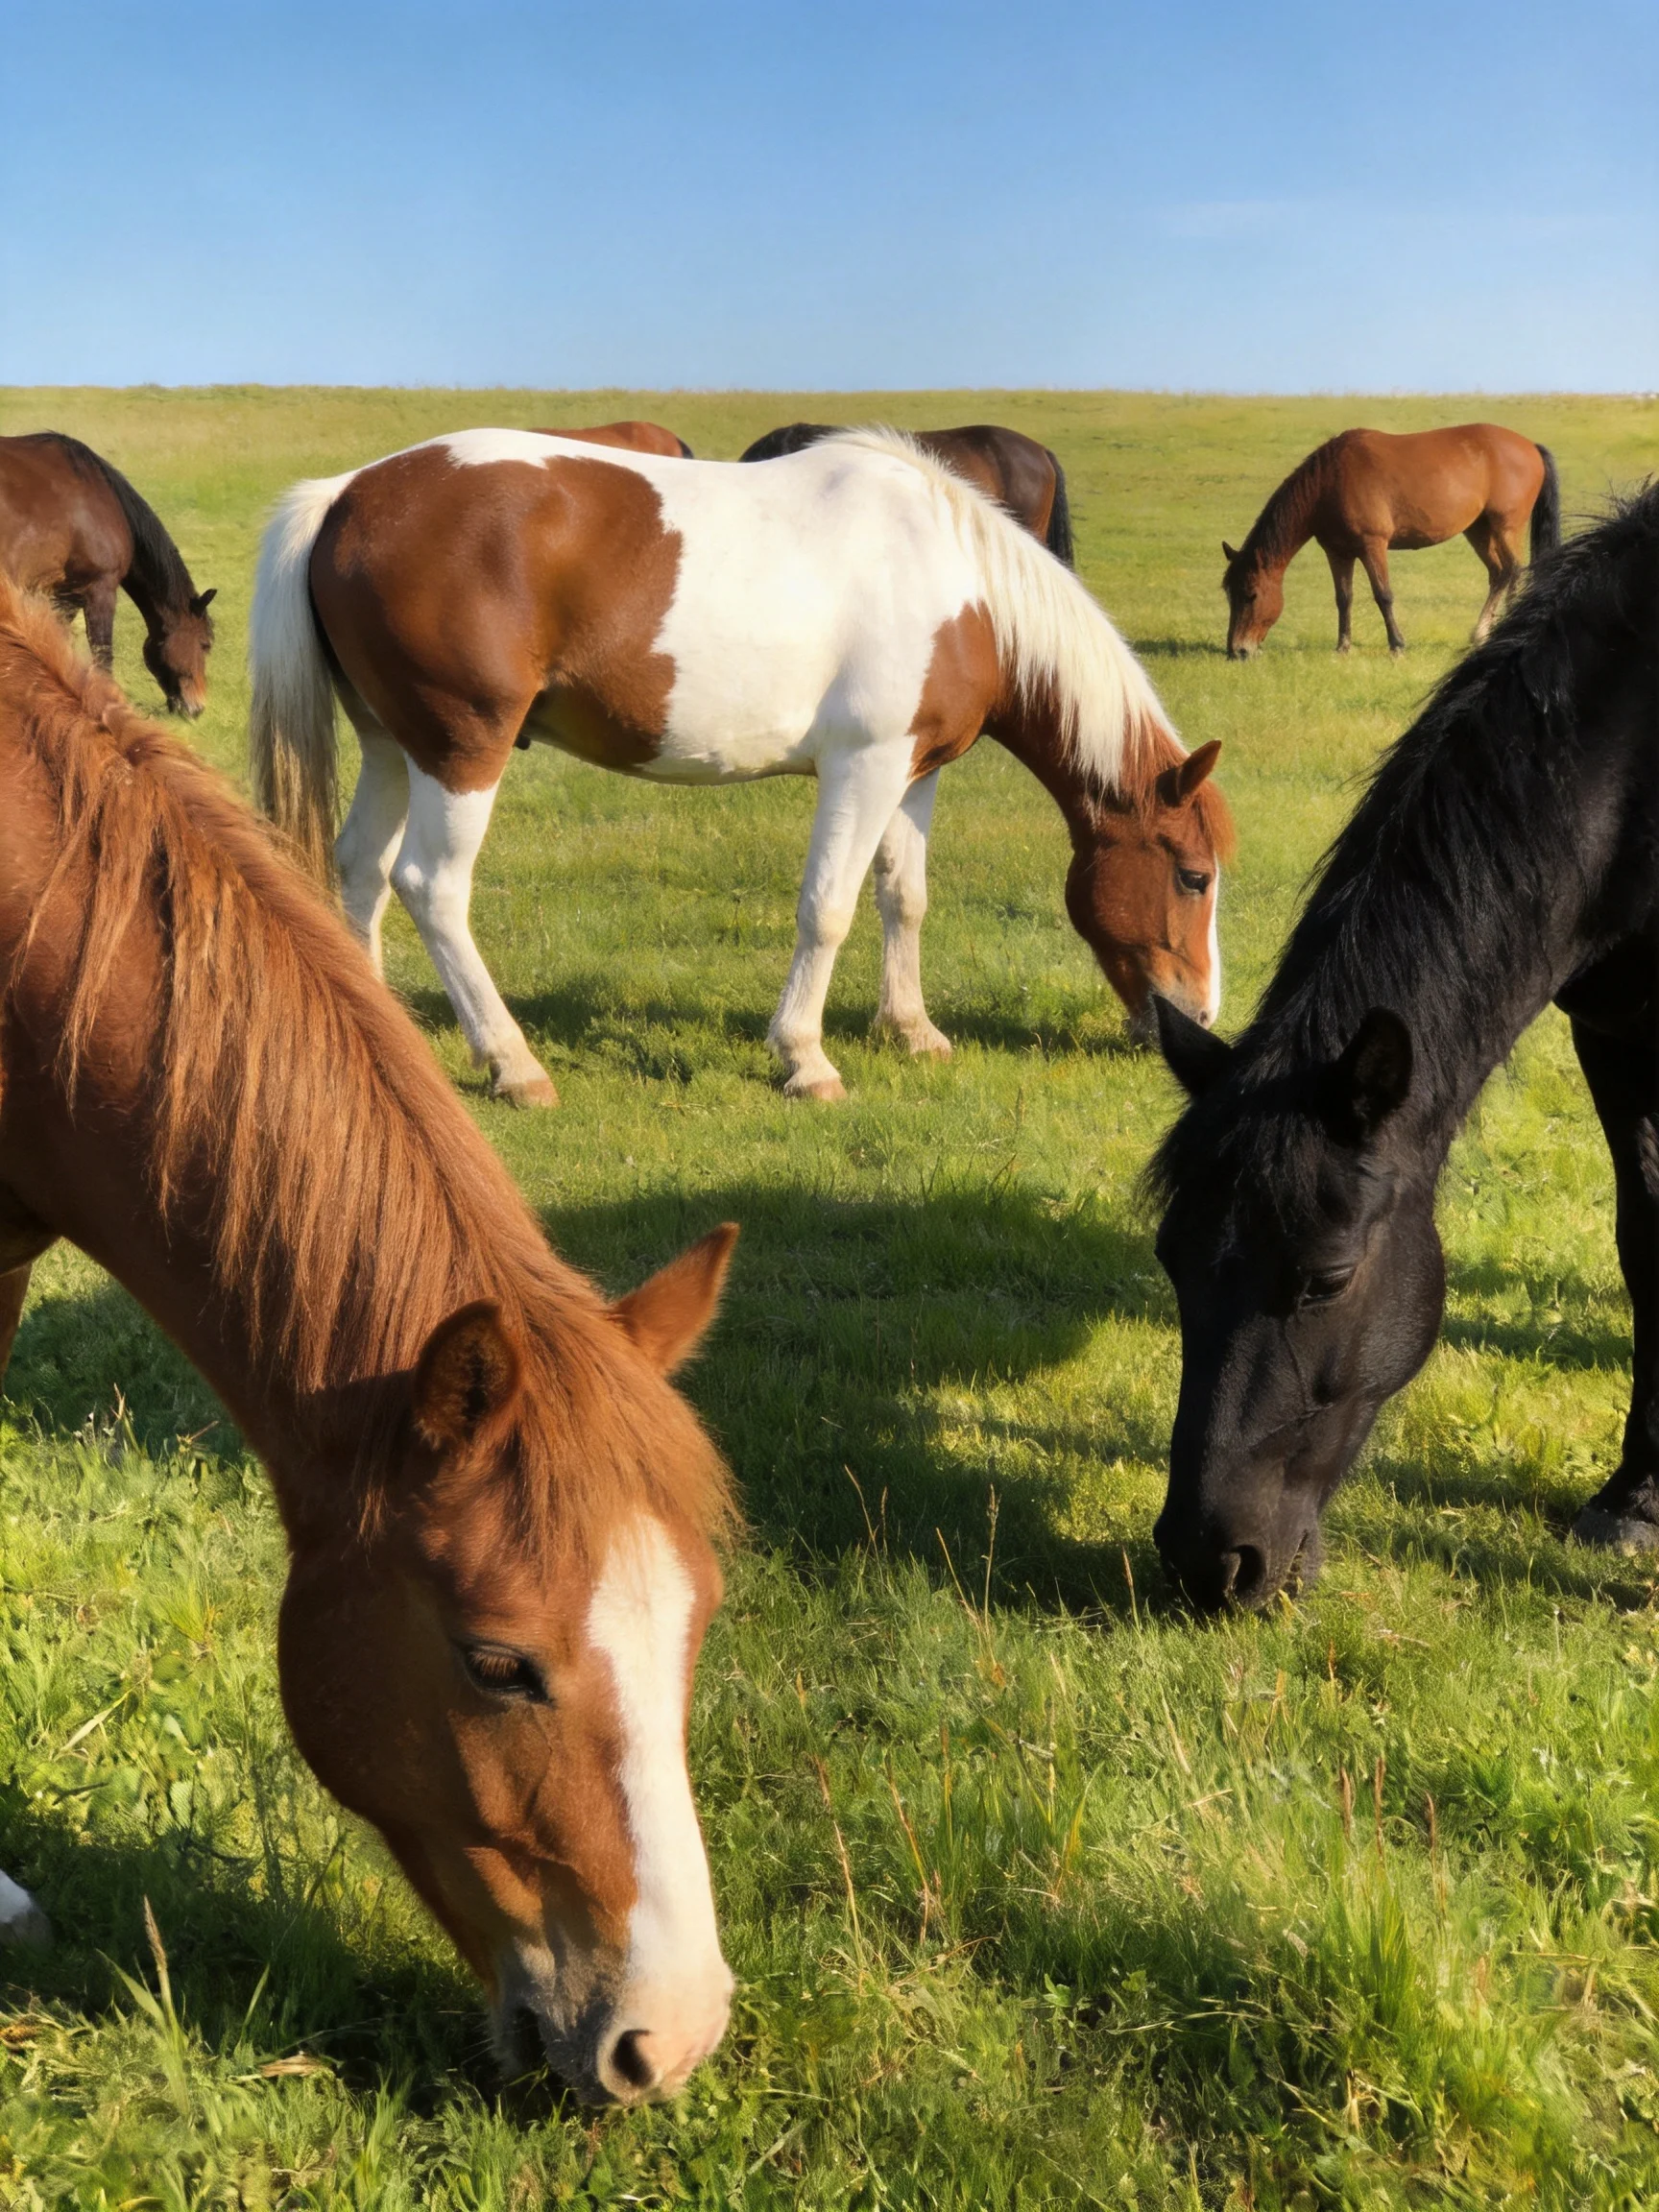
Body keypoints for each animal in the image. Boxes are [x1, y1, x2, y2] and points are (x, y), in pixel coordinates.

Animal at [1149, 486, 1657, 1613]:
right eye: (1171, 1258)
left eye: (1328, 1279)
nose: (1210, 1562)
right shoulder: (1616, 1035)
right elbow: (1645, 1246)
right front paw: (1637, 1495)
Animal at [1221, 424, 1560, 659]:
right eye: (1229, 593)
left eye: (1251, 595)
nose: (1237, 650)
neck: (1329, 483)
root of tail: (1529, 446)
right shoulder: (1337, 552)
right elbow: (1343, 598)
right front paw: (1343, 647)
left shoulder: (1373, 546)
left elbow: (1383, 595)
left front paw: (1397, 645)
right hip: (1478, 530)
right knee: (1499, 573)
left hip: (1505, 527)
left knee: (1514, 570)